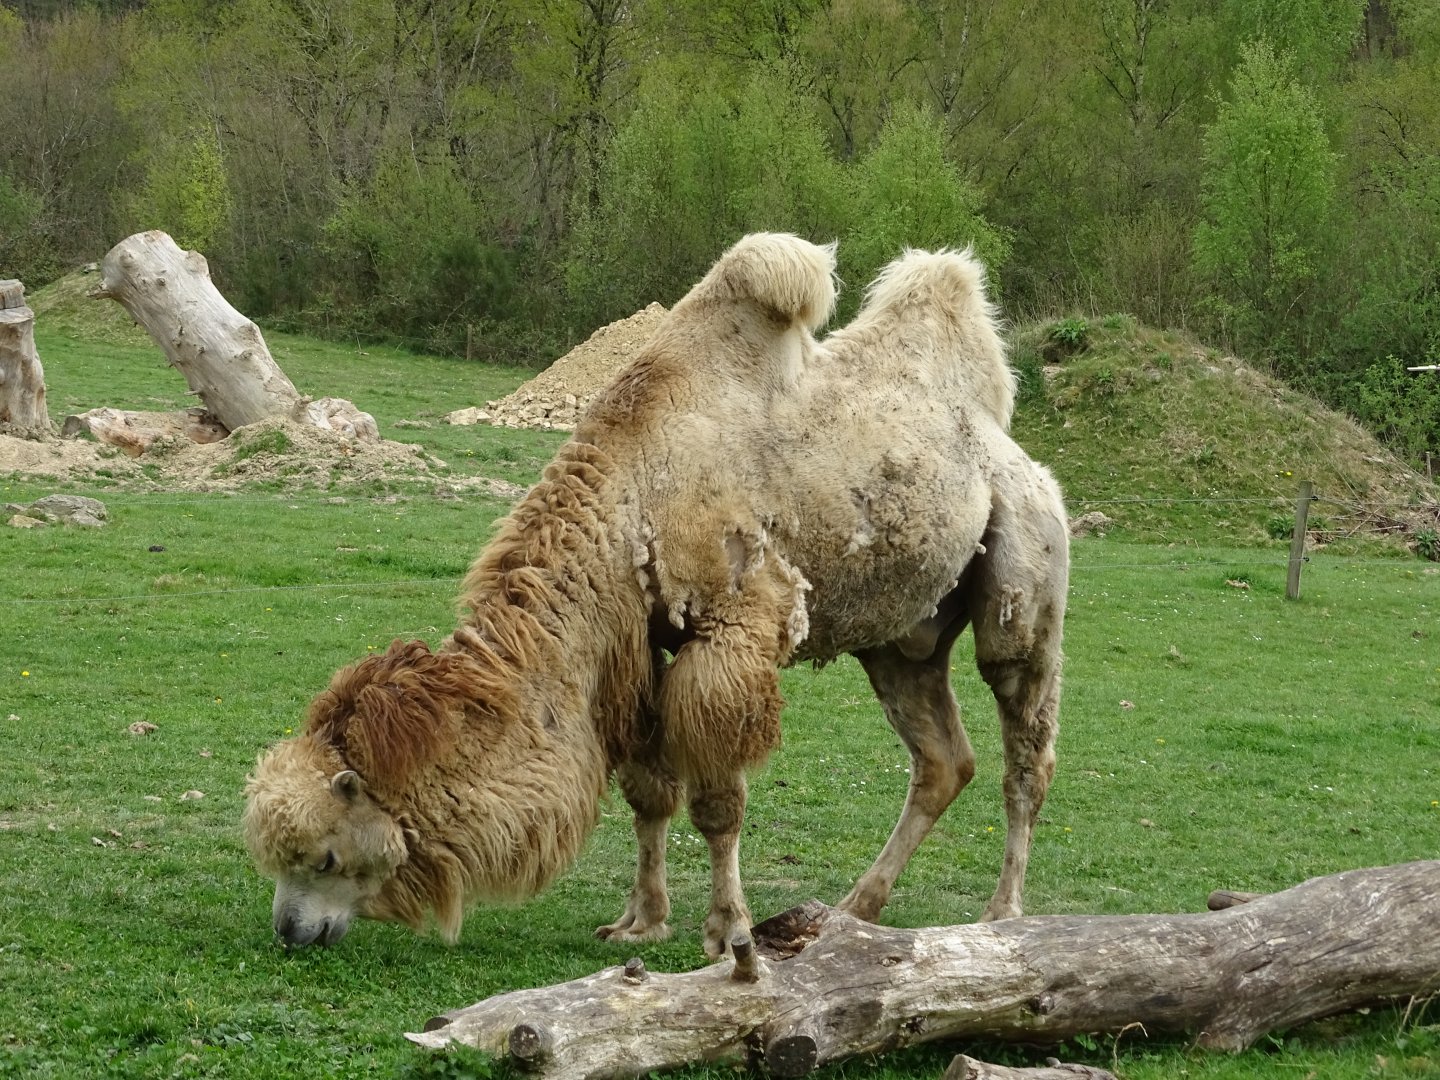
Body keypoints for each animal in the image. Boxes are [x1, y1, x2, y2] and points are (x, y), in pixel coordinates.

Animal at [243, 234, 1069, 958]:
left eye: (322, 857)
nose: (290, 932)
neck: (629, 495)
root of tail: (1011, 447)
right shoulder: (632, 642)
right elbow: (648, 792)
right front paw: (639, 921)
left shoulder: (731, 631)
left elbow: (717, 804)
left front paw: (728, 931)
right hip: (900, 640)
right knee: (942, 760)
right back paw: (857, 907)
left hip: (1027, 579)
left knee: (1023, 749)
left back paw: (1002, 914)